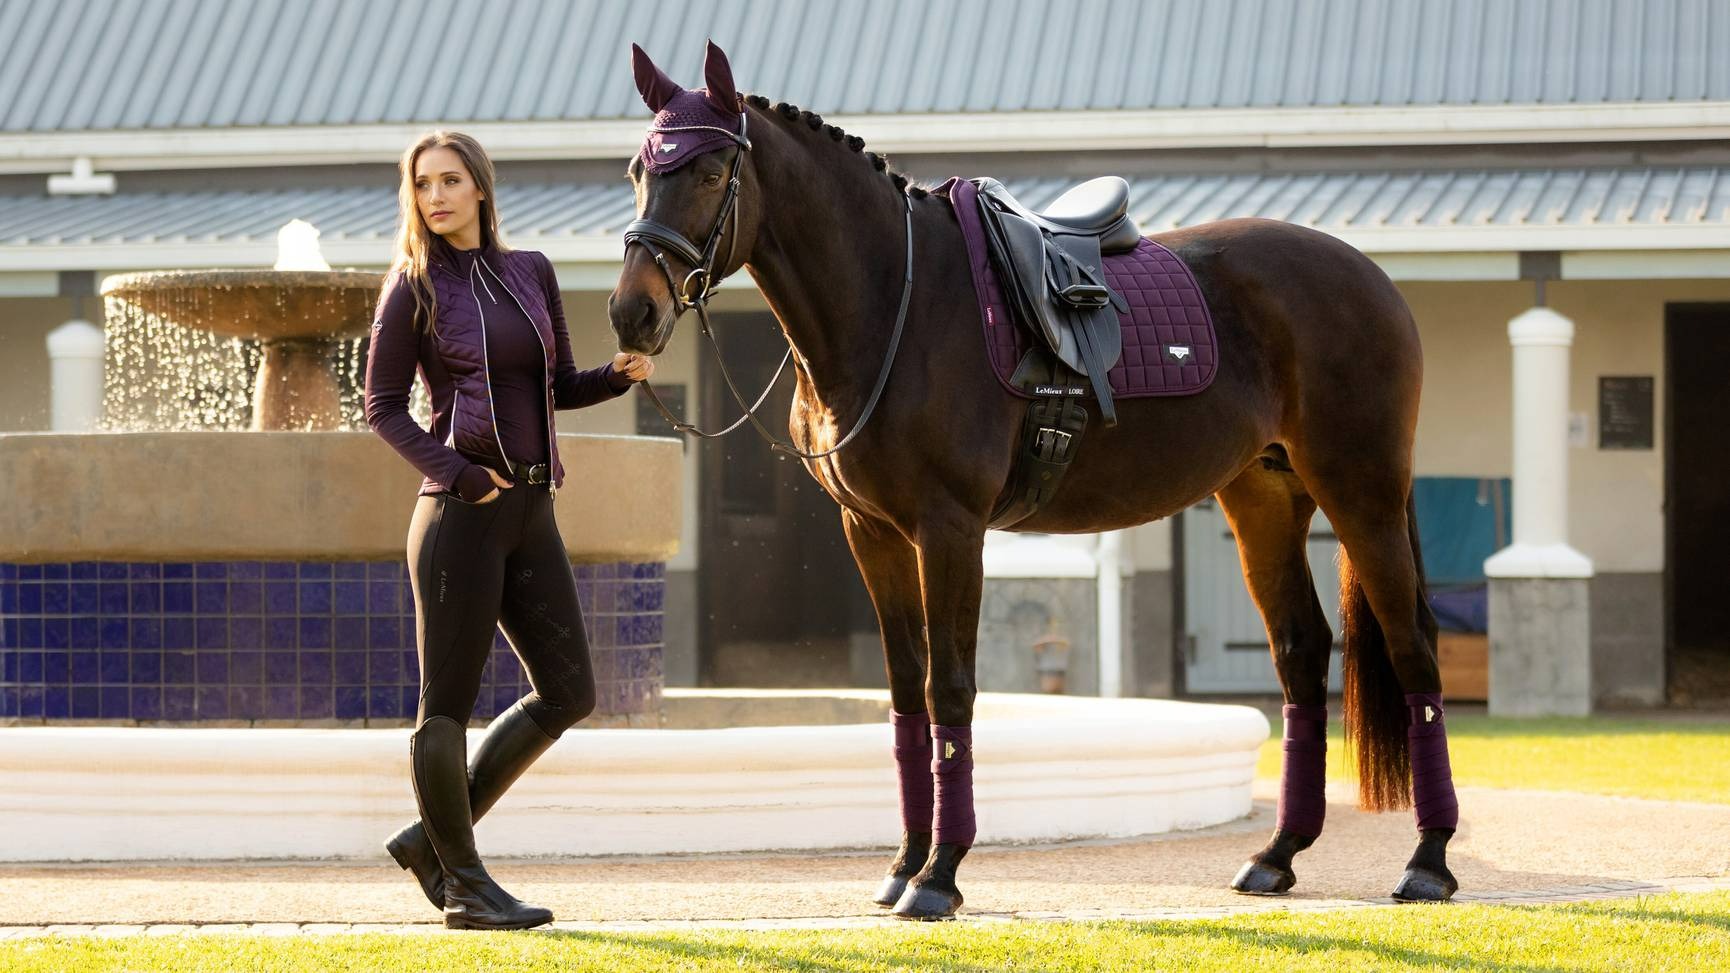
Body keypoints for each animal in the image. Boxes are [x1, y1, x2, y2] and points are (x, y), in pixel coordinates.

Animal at [608, 39, 1460, 914]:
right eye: (639, 169)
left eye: (712, 170)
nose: (632, 314)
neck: (898, 303)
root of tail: (1371, 276)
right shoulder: (872, 533)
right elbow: (905, 694)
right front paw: (904, 863)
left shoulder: (951, 528)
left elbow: (951, 689)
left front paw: (940, 874)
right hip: (1264, 497)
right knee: (1300, 652)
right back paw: (1278, 852)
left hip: (1361, 492)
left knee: (1413, 648)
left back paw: (1427, 860)